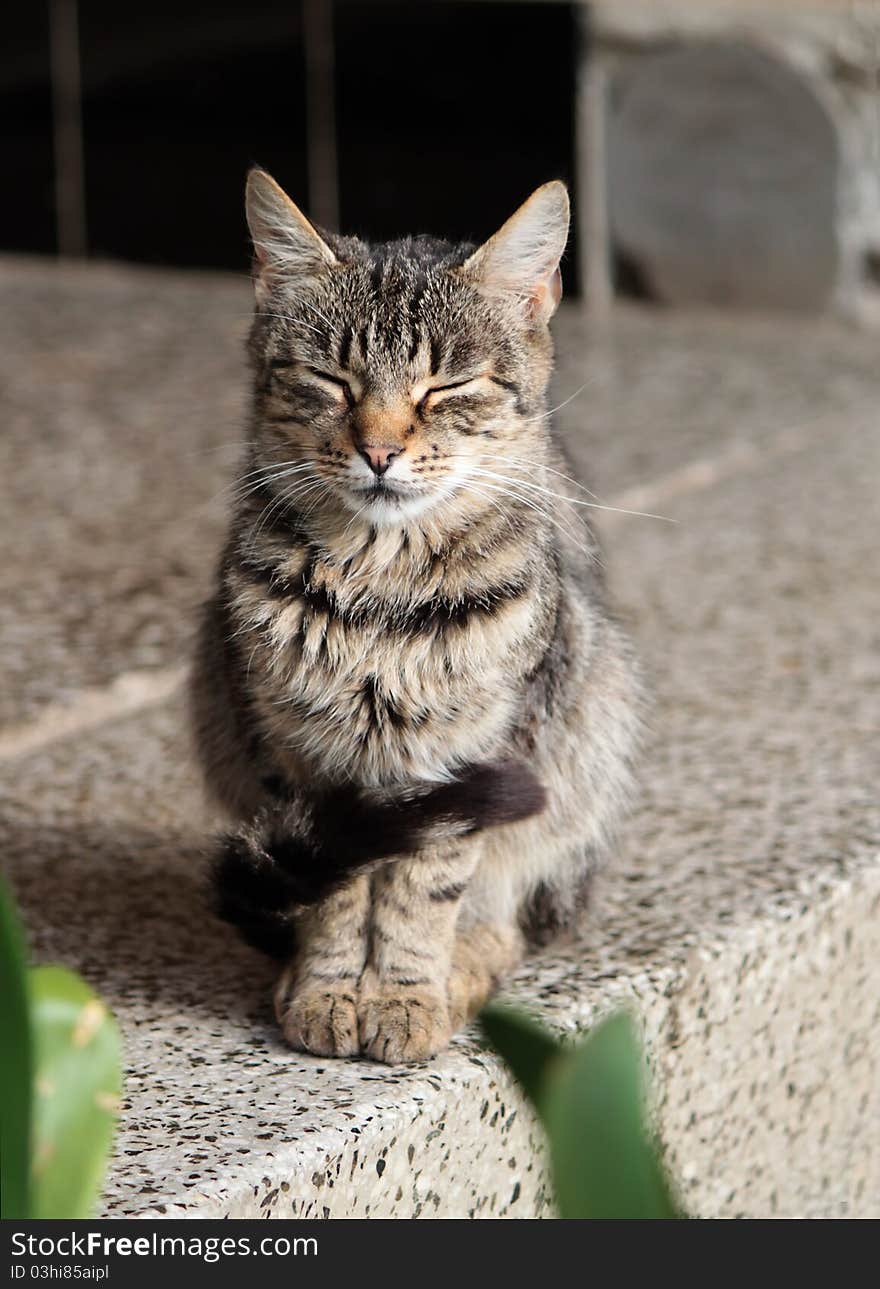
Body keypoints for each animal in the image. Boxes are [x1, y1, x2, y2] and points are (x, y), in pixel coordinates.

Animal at [193, 168, 644, 1056]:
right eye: (332, 380)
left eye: (446, 388)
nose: (378, 450)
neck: (382, 585)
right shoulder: (299, 754)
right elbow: (337, 894)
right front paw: (329, 987)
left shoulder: (469, 756)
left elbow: (423, 890)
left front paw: (403, 994)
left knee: (508, 914)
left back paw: (464, 966)